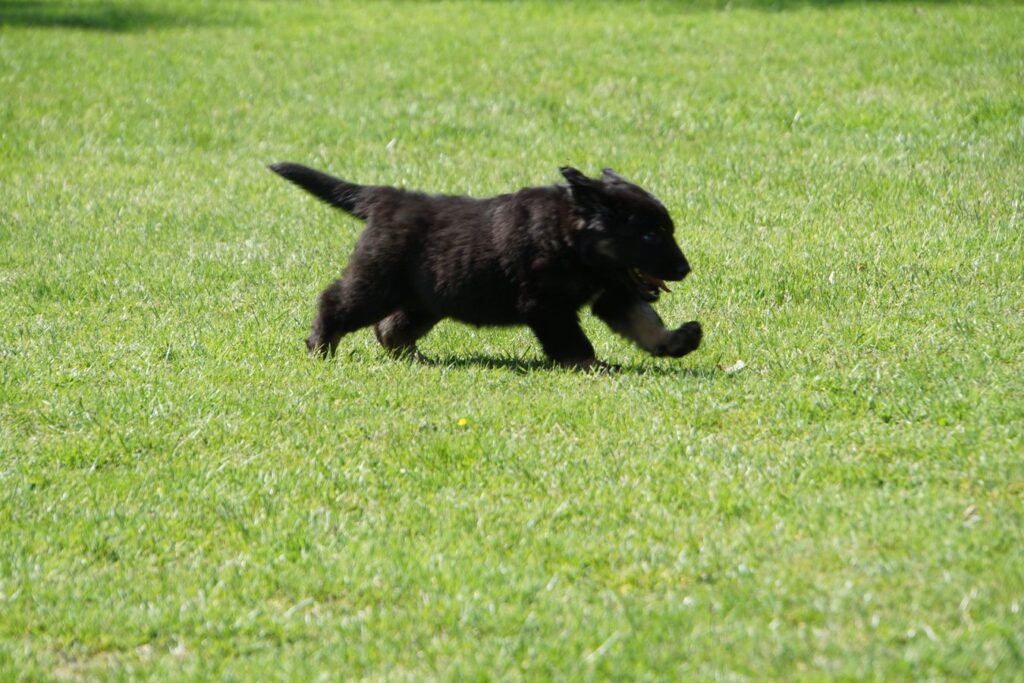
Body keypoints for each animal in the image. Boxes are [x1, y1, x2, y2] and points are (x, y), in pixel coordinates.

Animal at [269, 163, 702, 369]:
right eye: (650, 236)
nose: (684, 270)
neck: (571, 238)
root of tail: (386, 199)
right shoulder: (546, 306)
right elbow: (574, 344)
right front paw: (595, 367)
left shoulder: (613, 294)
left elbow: (645, 322)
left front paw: (677, 341)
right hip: (376, 284)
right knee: (335, 302)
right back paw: (320, 345)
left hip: (427, 298)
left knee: (389, 328)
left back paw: (415, 359)